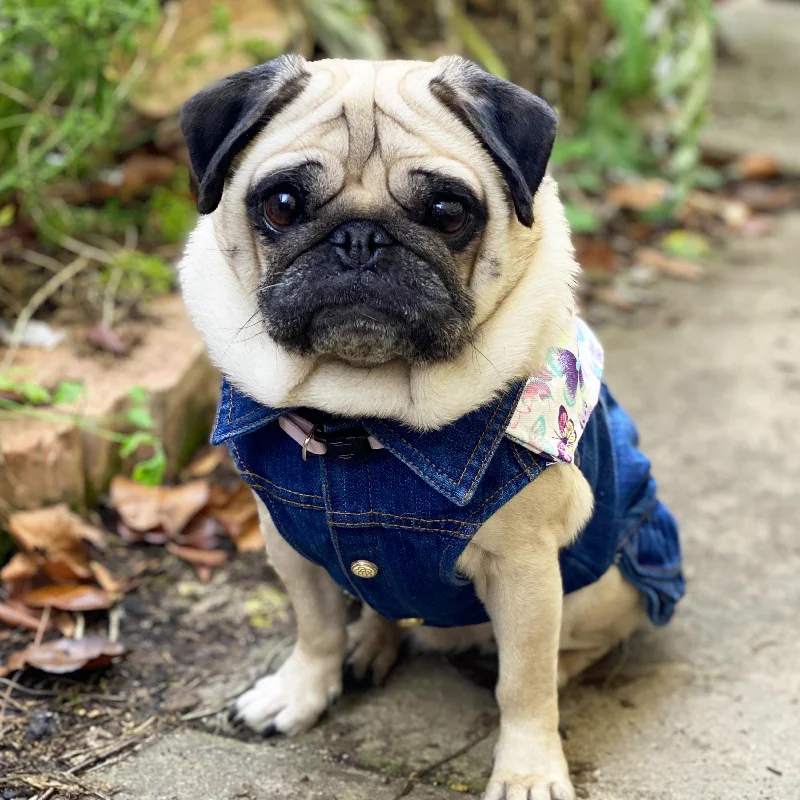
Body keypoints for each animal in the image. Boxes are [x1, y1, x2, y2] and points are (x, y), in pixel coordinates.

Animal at [178, 56, 684, 800]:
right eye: (281, 205)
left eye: (447, 213)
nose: (359, 238)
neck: (362, 417)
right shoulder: (288, 541)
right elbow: (315, 626)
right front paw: (302, 690)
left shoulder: (528, 572)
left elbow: (524, 685)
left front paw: (528, 768)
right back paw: (370, 643)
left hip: (607, 585)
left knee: (569, 652)